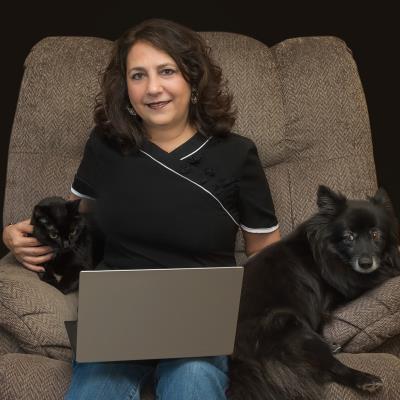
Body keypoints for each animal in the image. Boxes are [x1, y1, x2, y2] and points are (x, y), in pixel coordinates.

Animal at [227, 185, 400, 400]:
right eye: (348, 237)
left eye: (376, 235)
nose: (366, 263)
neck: (328, 251)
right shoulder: (342, 291)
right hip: (290, 327)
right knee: (331, 368)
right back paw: (365, 379)